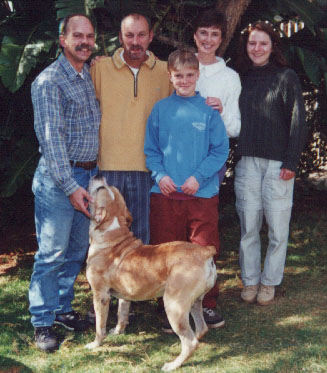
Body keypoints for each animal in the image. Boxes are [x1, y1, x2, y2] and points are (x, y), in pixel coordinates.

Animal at [84, 176, 218, 370]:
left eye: (100, 188)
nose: (98, 176)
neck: (111, 231)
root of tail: (205, 251)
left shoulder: (100, 295)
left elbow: (99, 325)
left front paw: (95, 344)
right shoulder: (125, 295)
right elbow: (121, 315)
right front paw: (117, 331)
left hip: (174, 305)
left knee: (190, 342)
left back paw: (172, 365)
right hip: (194, 303)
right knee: (200, 329)